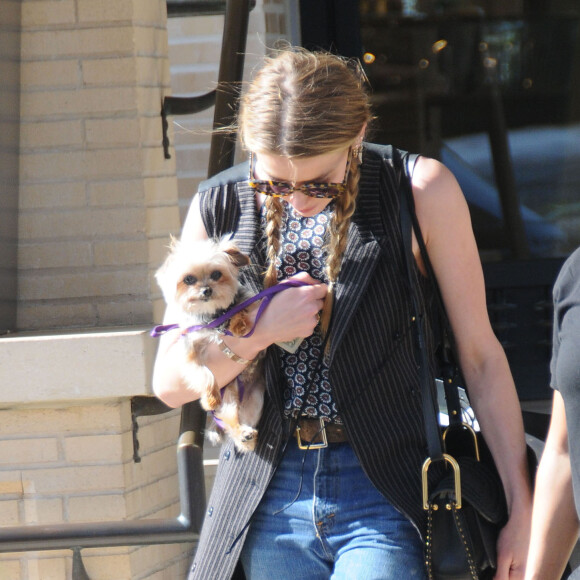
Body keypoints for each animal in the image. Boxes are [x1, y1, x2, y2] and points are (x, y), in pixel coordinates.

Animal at [153, 237, 264, 454]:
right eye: (188, 279)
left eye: (216, 274)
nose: (206, 290)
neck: (214, 317)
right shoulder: (189, 350)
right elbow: (204, 374)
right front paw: (210, 397)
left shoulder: (249, 301)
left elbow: (241, 309)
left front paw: (238, 324)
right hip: (229, 397)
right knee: (228, 419)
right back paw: (242, 433)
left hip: (256, 398)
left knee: (237, 420)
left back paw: (246, 436)